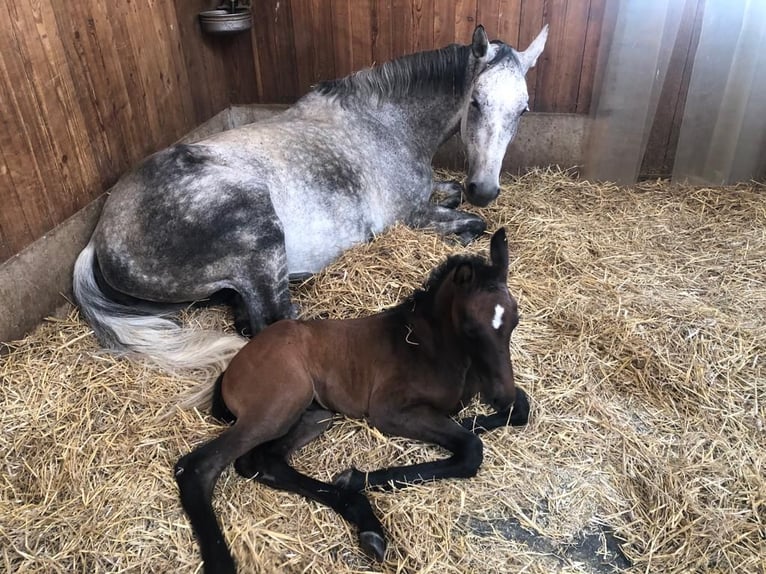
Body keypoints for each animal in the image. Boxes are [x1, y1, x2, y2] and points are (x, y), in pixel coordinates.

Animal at [75, 23, 548, 374]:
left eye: (523, 109)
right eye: (476, 101)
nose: (484, 189)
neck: (385, 125)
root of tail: (101, 236)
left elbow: (451, 196)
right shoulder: (409, 217)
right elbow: (471, 224)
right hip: (261, 237)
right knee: (272, 319)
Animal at [176, 227, 532, 572]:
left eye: (515, 320)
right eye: (471, 328)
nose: (500, 392)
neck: (430, 347)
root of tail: (233, 366)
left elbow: (520, 408)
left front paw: (474, 418)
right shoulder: (389, 411)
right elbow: (471, 449)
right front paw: (359, 477)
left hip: (314, 414)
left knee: (263, 462)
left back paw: (365, 521)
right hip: (278, 406)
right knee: (197, 467)